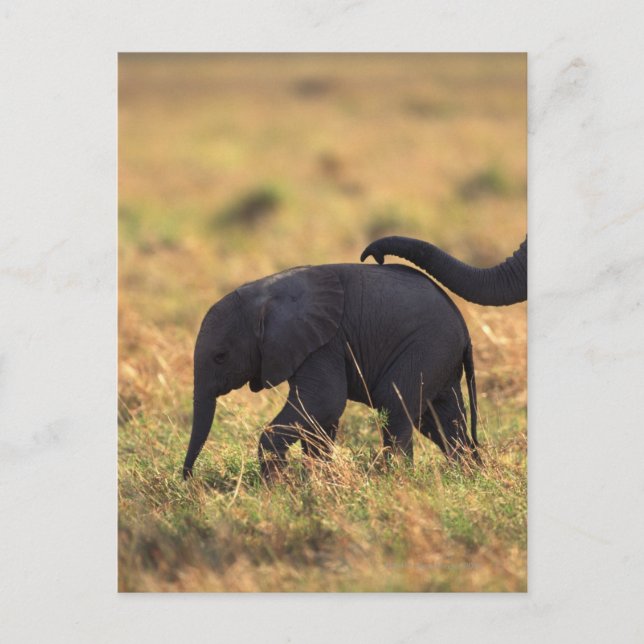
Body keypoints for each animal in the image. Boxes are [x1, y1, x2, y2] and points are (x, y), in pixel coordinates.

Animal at [182, 263, 479, 482]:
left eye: (220, 357)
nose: (188, 478)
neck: (265, 298)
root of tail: (464, 328)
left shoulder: (325, 343)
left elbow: (324, 403)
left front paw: (277, 485)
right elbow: (319, 417)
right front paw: (317, 481)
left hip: (427, 346)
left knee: (395, 405)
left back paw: (397, 478)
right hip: (439, 357)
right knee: (441, 418)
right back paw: (467, 474)